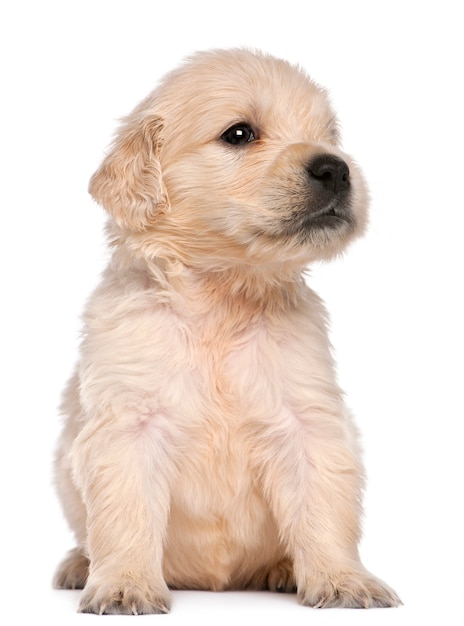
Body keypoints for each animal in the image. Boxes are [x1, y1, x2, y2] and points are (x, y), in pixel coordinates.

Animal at [54, 50, 400, 616]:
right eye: (239, 134)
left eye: (330, 134)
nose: (337, 167)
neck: (223, 297)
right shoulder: (128, 425)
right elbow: (125, 515)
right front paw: (125, 584)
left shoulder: (308, 421)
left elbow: (324, 506)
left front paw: (343, 579)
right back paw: (80, 565)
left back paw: (282, 569)